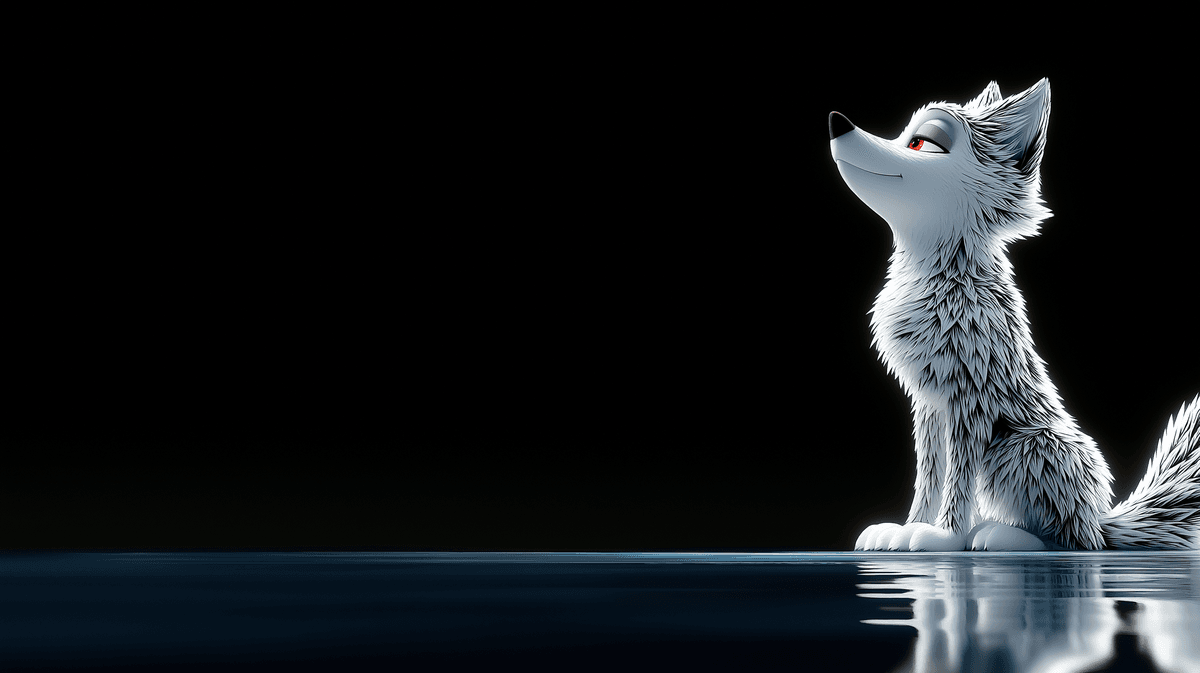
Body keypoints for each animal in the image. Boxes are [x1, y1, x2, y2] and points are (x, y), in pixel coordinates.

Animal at [829, 79, 1200, 551]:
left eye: (922, 142)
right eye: (903, 135)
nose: (837, 121)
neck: (938, 273)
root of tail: (1100, 519)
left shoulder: (969, 400)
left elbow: (957, 481)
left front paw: (943, 535)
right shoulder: (928, 404)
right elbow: (929, 476)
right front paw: (907, 527)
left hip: (1024, 447)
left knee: (1071, 540)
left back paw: (1003, 536)